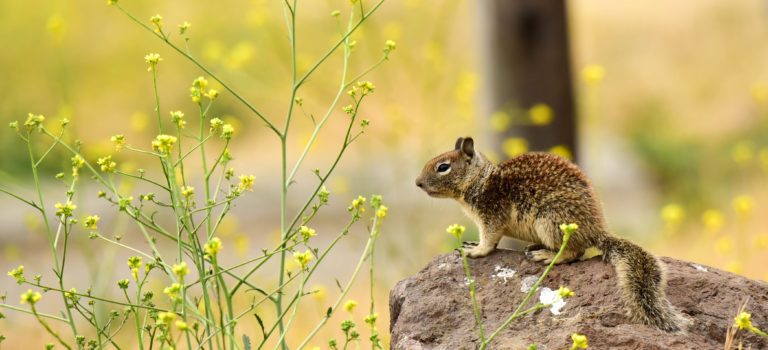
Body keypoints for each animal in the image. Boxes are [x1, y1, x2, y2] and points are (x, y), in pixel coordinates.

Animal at [416, 135, 692, 332]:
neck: (481, 180)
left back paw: (546, 256)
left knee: (574, 252)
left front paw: (475, 250)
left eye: (443, 167)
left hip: (550, 221)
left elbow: (490, 239)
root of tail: (597, 230)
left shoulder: (491, 215)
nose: (417, 183)